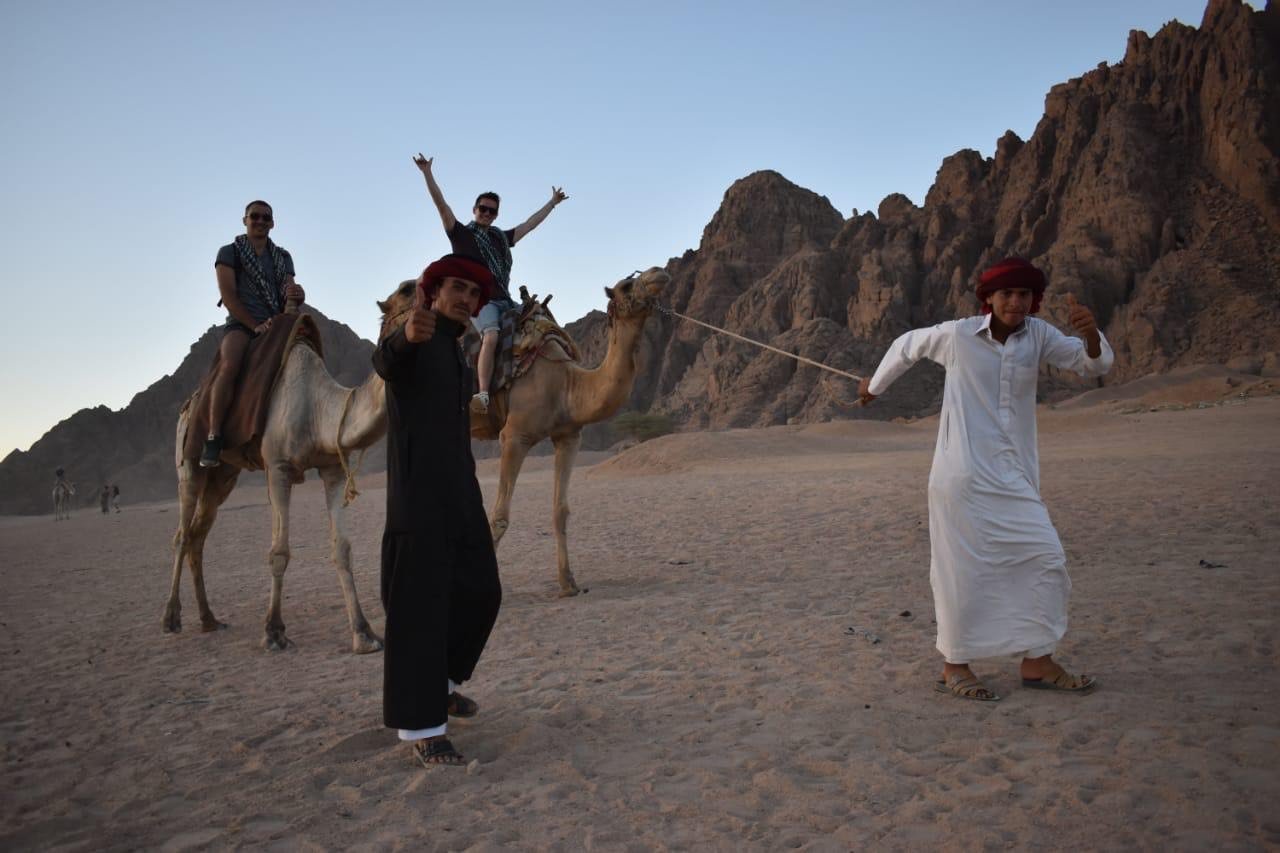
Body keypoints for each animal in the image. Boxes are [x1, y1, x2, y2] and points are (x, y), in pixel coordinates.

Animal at [165, 297, 396, 650]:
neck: (317, 408)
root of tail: (189, 404)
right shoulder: (278, 468)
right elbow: (279, 552)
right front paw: (274, 631)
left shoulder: (332, 468)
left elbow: (342, 549)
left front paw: (364, 633)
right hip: (189, 463)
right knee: (181, 534)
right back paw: (171, 618)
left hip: (223, 478)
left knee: (197, 537)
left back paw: (208, 619)